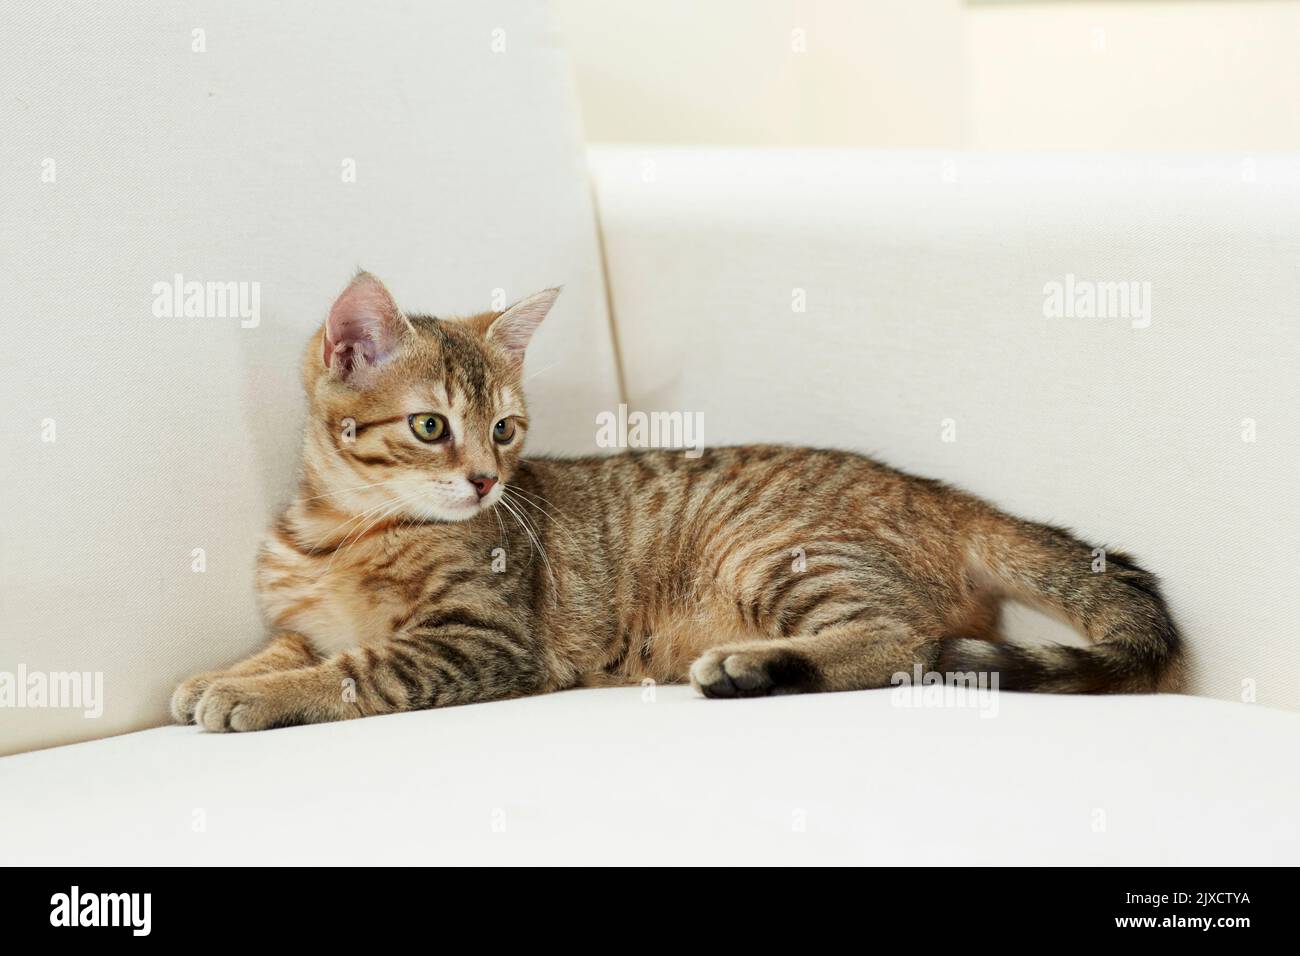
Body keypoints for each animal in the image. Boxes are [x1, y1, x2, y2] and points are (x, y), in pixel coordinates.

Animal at [175, 274, 1190, 733]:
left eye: (504, 429)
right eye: (432, 426)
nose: (486, 481)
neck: (339, 532)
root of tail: (937, 492)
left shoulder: (481, 639)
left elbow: (361, 668)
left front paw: (253, 693)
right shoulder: (307, 616)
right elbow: (294, 643)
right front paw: (220, 672)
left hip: (778, 555)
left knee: (901, 642)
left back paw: (754, 667)